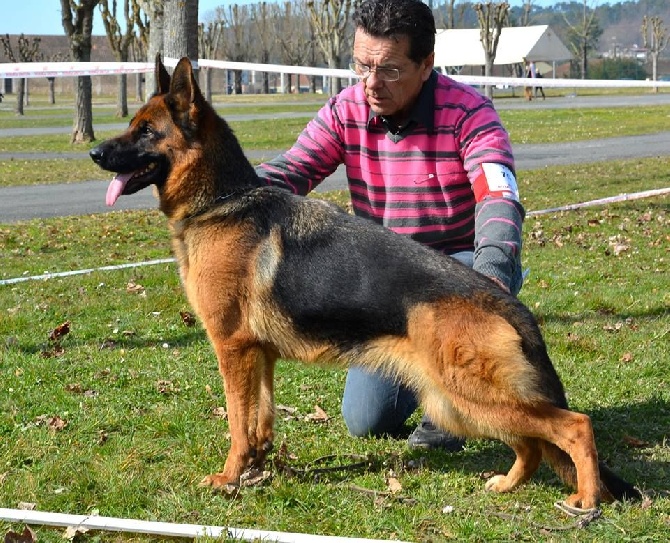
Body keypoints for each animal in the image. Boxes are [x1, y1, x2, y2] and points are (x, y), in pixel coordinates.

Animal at [89, 56, 640, 510]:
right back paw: (508, 484)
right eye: (131, 127)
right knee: (531, 443)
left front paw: (228, 480)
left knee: (574, 426)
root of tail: (508, 305)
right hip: (458, 402)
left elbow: (237, 425)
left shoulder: (233, 348)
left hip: (464, 395)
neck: (222, 201)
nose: (94, 152)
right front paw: (256, 474)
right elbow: (259, 422)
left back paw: (586, 500)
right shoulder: (258, 355)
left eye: (145, 131)